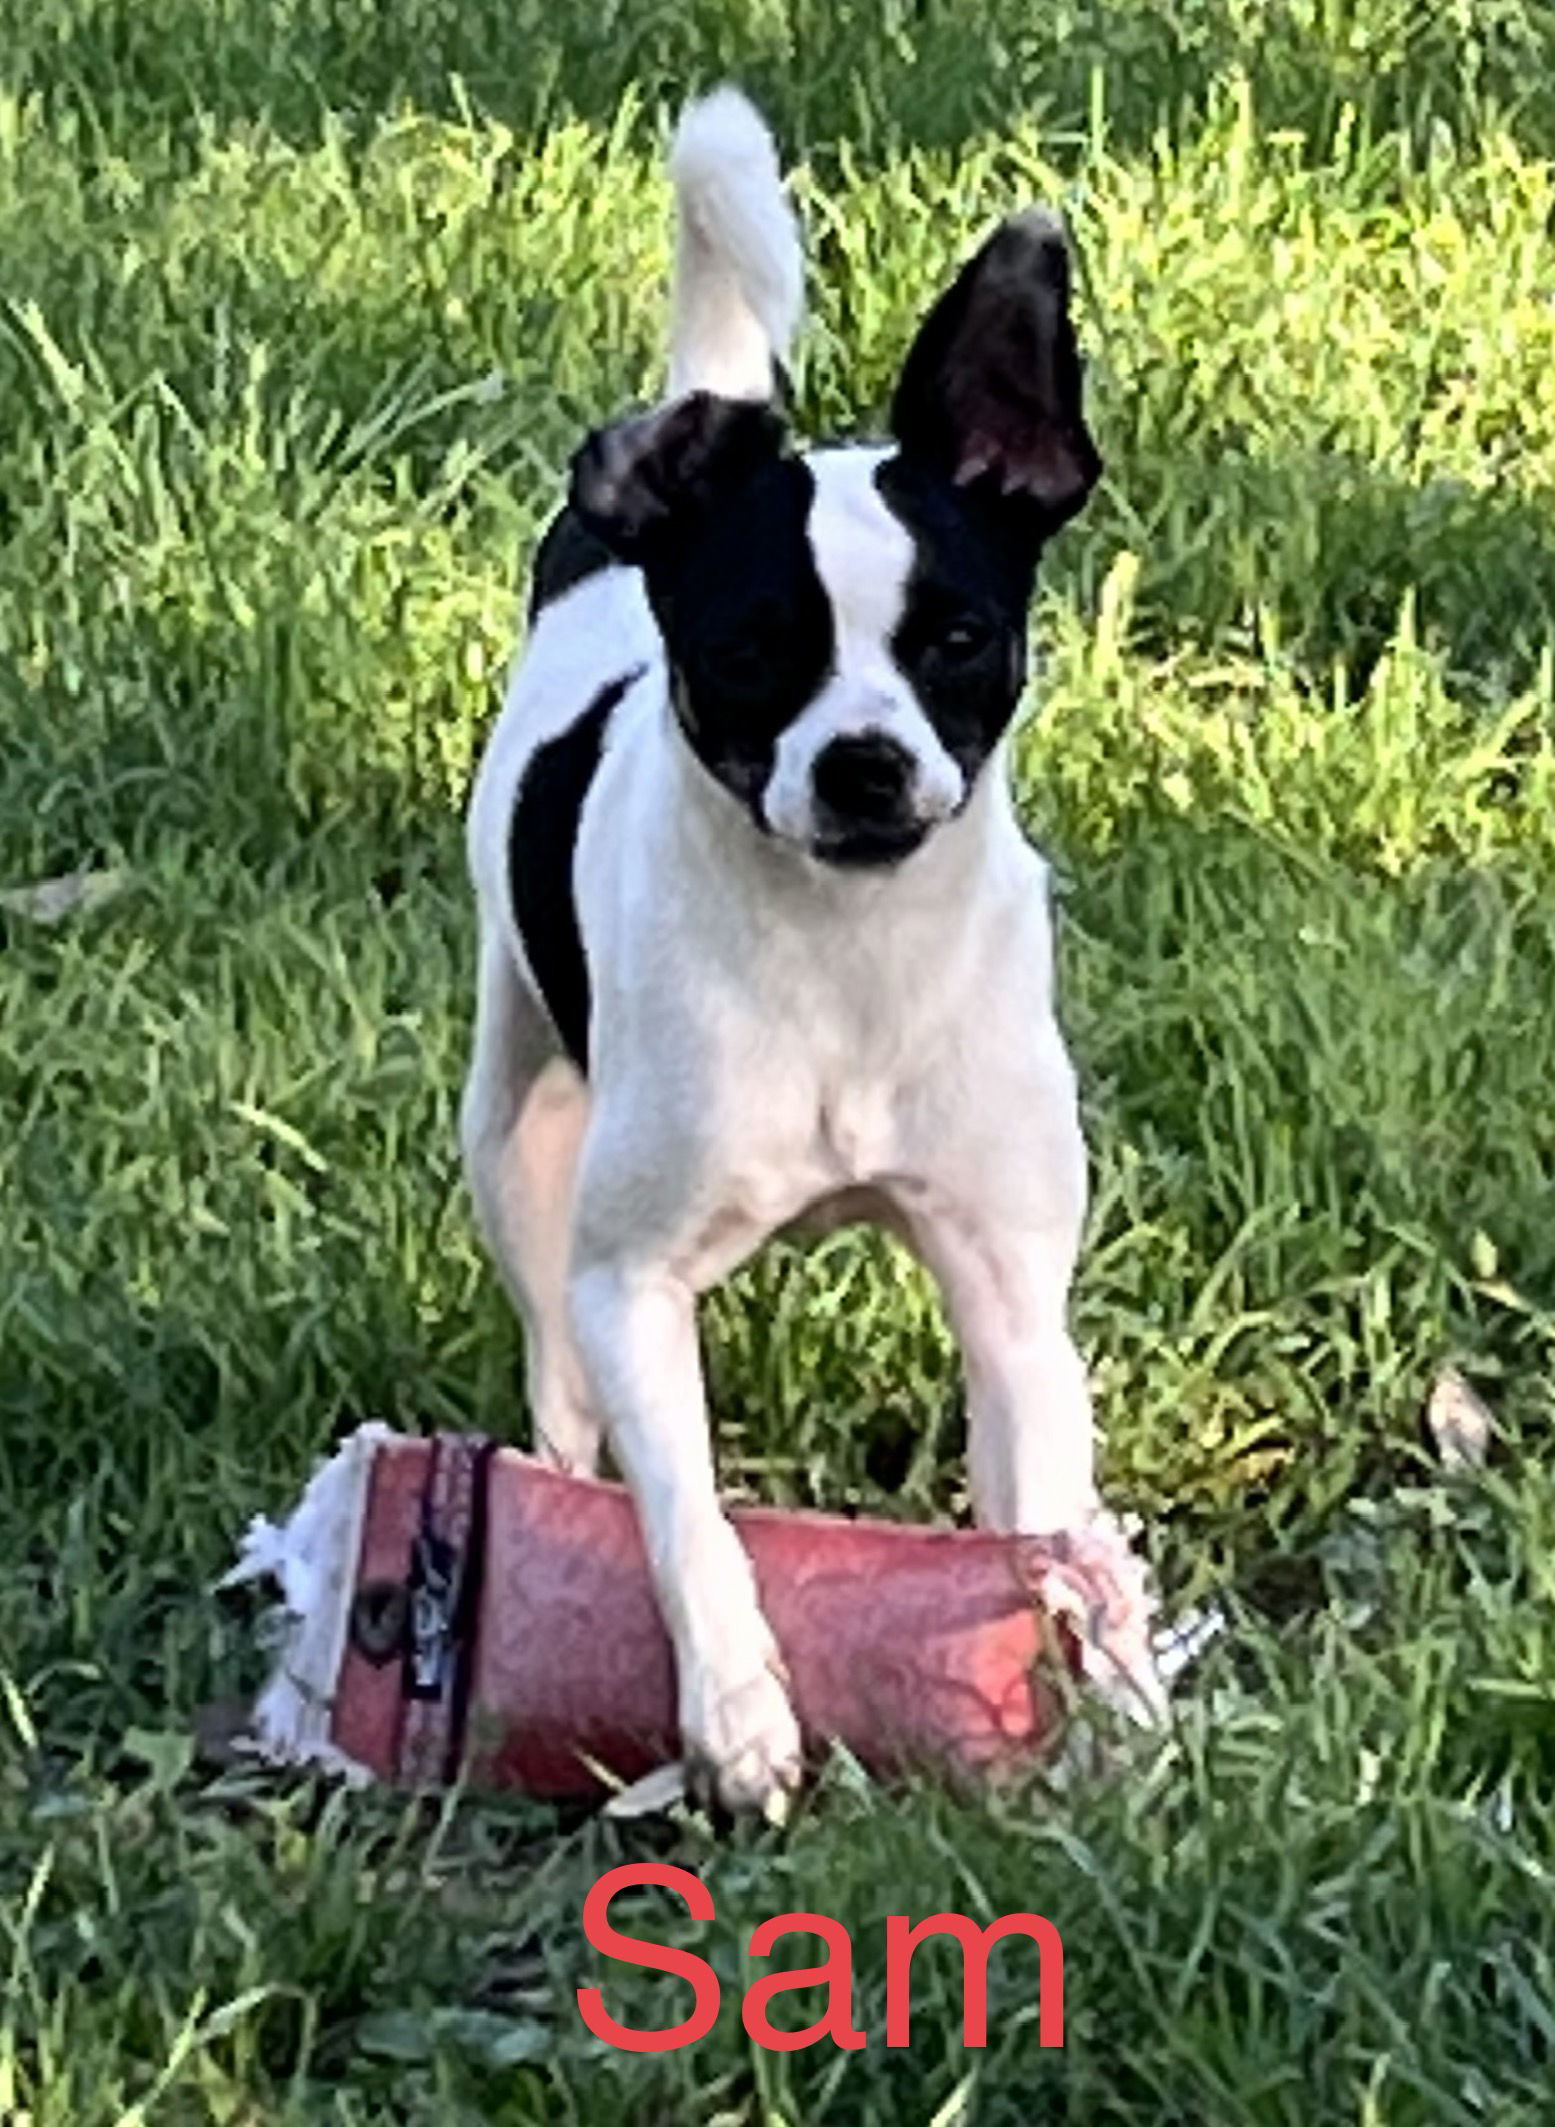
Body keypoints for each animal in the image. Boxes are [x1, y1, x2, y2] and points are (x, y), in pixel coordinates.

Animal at [455, 82, 1165, 1812]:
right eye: (746, 649)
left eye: (958, 638)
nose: (859, 761)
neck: (847, 963)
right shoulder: (632, 1286)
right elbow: (689, 1517)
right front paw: (737, 1714)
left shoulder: (1011, 1290)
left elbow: (1043, 1522)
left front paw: (1106, 1693)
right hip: (513, 1132)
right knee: (557, 1383)